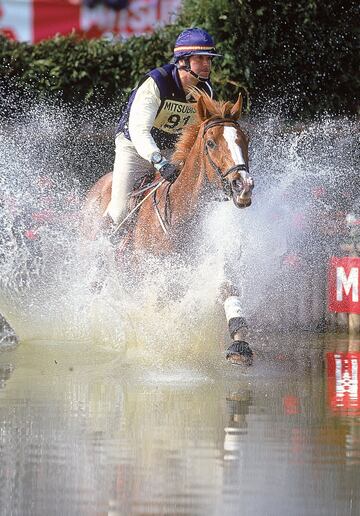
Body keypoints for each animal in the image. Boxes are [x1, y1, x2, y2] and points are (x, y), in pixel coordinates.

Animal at [83, 93, 255, 366]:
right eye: (210, 143)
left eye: (245, 140)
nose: (244, 186)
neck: (183, 215)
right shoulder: (156, 277)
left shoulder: (211, 262)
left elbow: (228, 286)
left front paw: (240, 345)